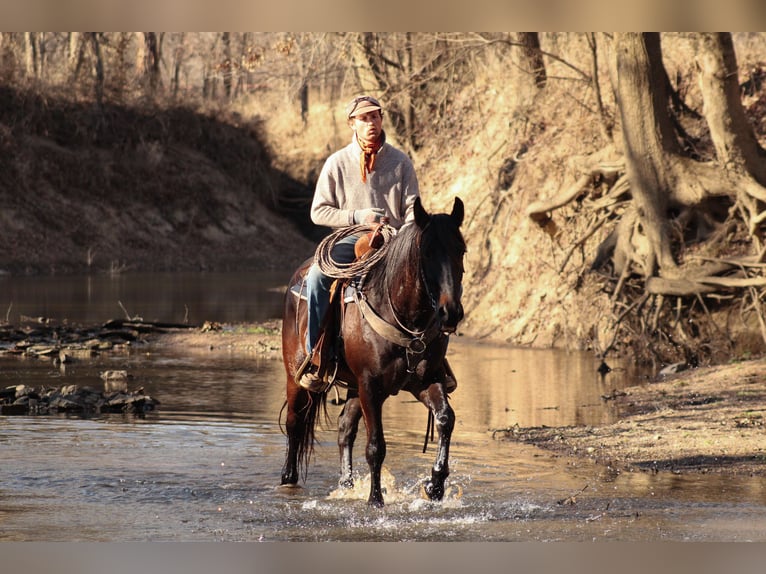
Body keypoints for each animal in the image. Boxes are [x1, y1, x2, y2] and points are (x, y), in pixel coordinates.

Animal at [279, 196, 466, 507]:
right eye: (426, 252)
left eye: (461, 250)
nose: (450, 313)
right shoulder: (370, 385)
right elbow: (376, 444)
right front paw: (375, 499)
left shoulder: (425, 381)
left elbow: (445, 419)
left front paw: (435, 484)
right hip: (297, 375)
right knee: (295, 423)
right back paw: (288, 479)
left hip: (354, 386)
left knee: (344, 428)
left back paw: (346, 484)